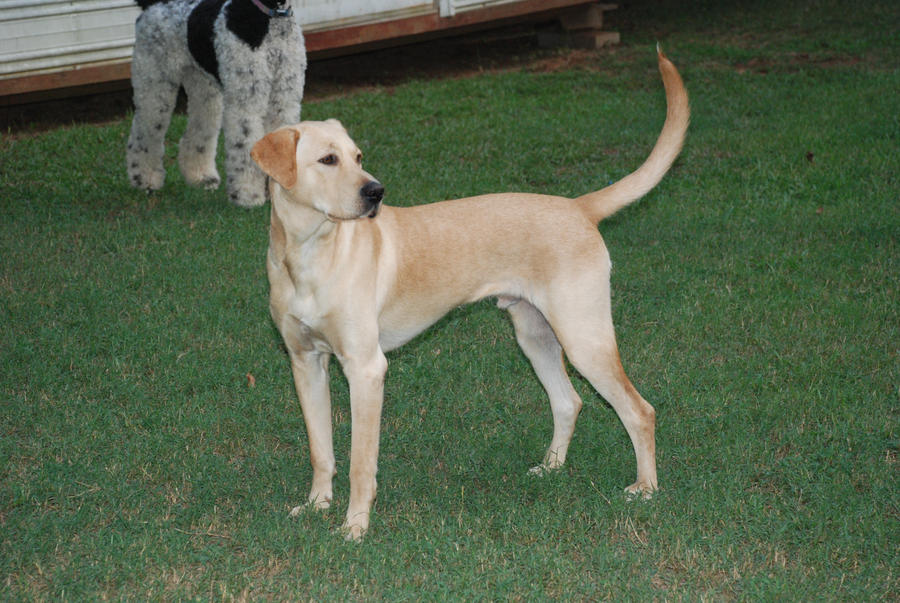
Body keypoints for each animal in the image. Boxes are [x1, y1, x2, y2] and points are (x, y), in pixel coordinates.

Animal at [125, 0, 306, 206]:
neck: (267, 18)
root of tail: (151, 5)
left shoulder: (284, 98)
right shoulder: (246, 102)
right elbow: (244, 146)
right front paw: (247, 195)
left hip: (203, 90)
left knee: (196, 135)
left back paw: (201, 177)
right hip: (155, 86)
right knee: (143, 135)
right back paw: (144, 179)